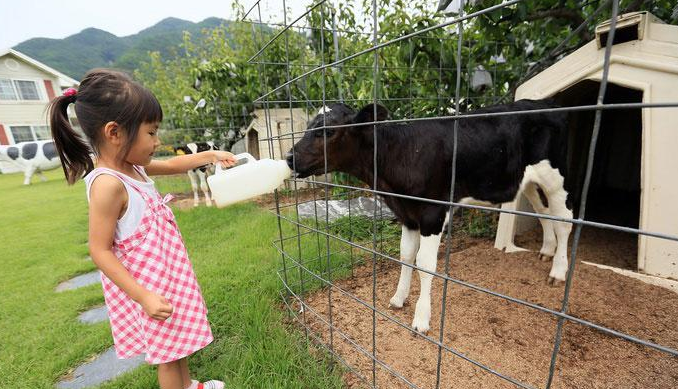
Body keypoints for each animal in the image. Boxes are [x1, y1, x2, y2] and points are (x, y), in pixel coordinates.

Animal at [286, 101, 572, 334]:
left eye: (327, 131)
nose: (289, 157)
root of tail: (543, 102)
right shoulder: (407, 215)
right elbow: (405, 256)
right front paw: (398, 298)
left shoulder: (432, 214)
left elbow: (424, 264)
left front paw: (421, 319)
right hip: (527, 181)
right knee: (544, 213)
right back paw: (546, 250)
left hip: (556, 178)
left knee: (565, 221)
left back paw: (558, 271)